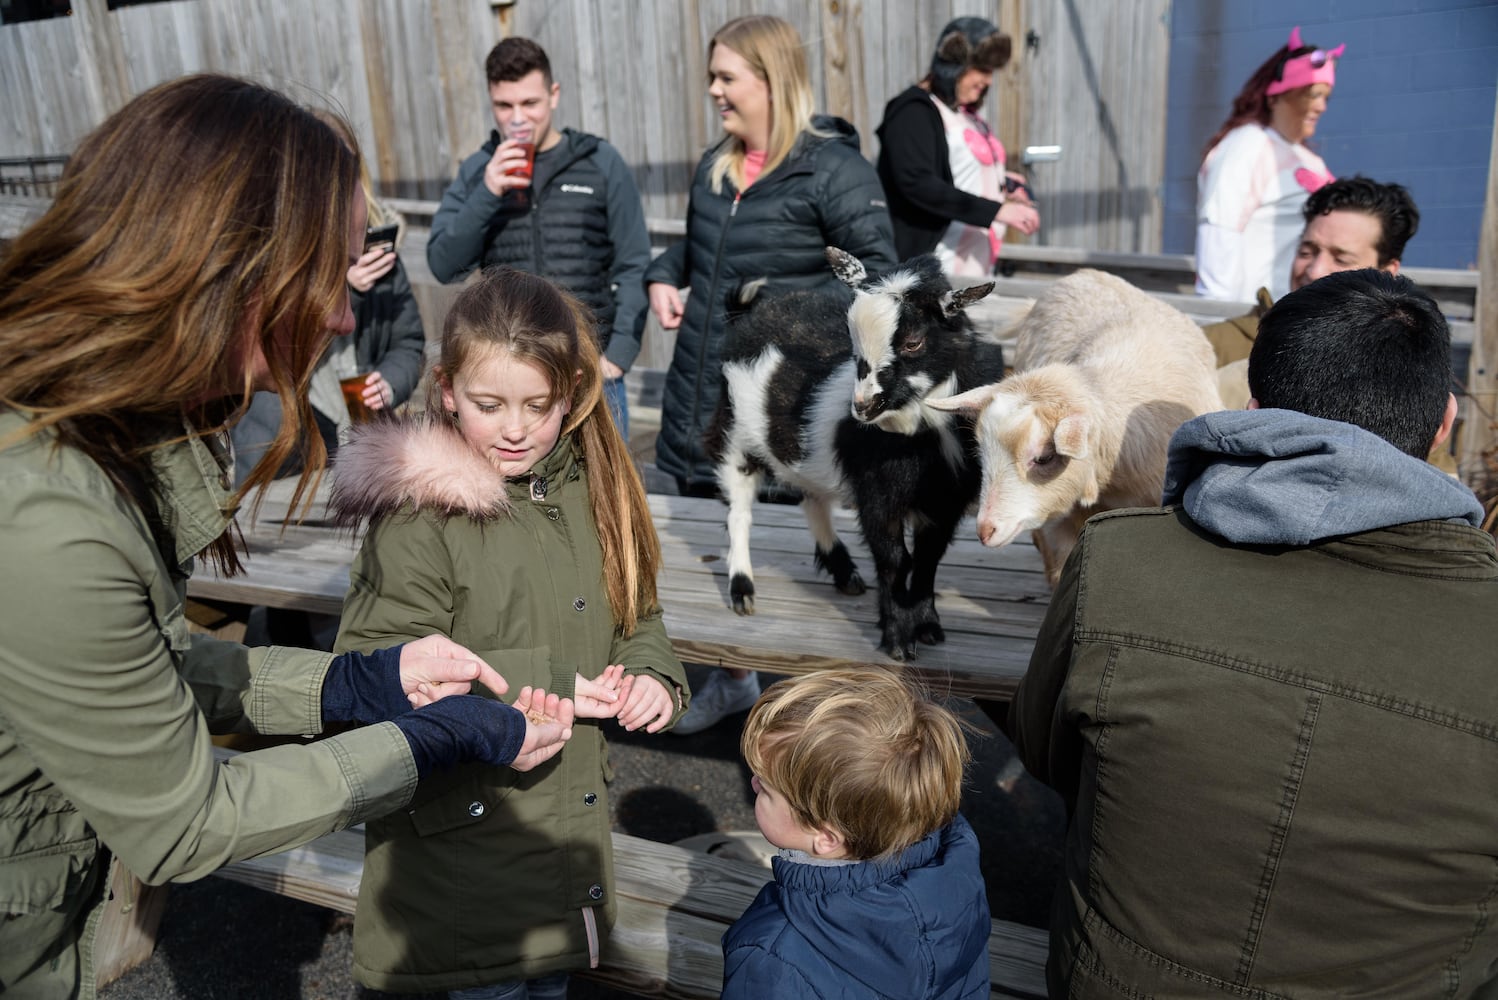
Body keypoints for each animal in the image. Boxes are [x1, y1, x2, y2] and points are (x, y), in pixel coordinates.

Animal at [704, 247, 1006, 658]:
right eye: (851, 339)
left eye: (913, 342)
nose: (862, 406)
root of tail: (749, 316)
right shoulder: (877, 494)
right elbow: (896, 560)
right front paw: (897, 640)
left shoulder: (946, 500)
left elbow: (928, 559)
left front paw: (928, 627)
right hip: (735, 434)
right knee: (739, 510)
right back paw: (742, 589)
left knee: (811, 497)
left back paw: (844, 571)